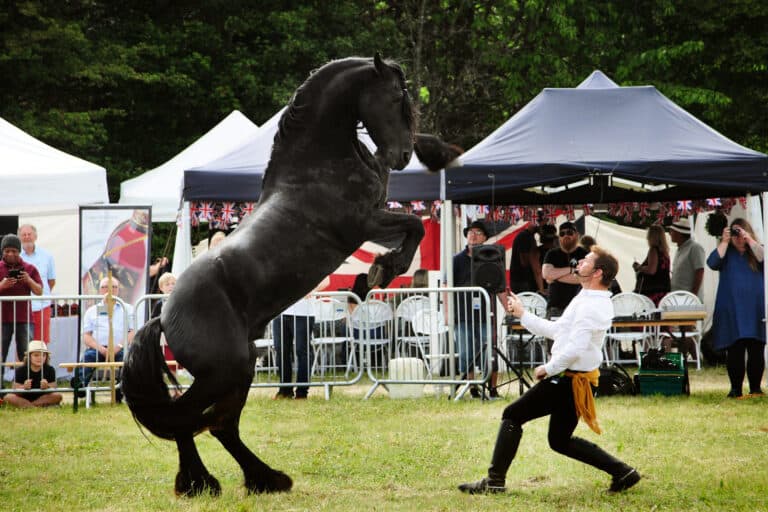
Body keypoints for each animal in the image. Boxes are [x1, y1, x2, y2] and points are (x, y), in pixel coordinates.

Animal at [122, 54, 458, 497]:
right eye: (392, 97)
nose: (402, 155)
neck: (317, 166)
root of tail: (163, 314)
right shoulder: (361, 223)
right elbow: (414, 226)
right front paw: (380, 271)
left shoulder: (373, 215)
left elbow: (412, 226)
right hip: (223, 371)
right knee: (187, 419)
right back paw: (202, 483)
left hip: (241, 368)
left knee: (220, 425)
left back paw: (263, 479)